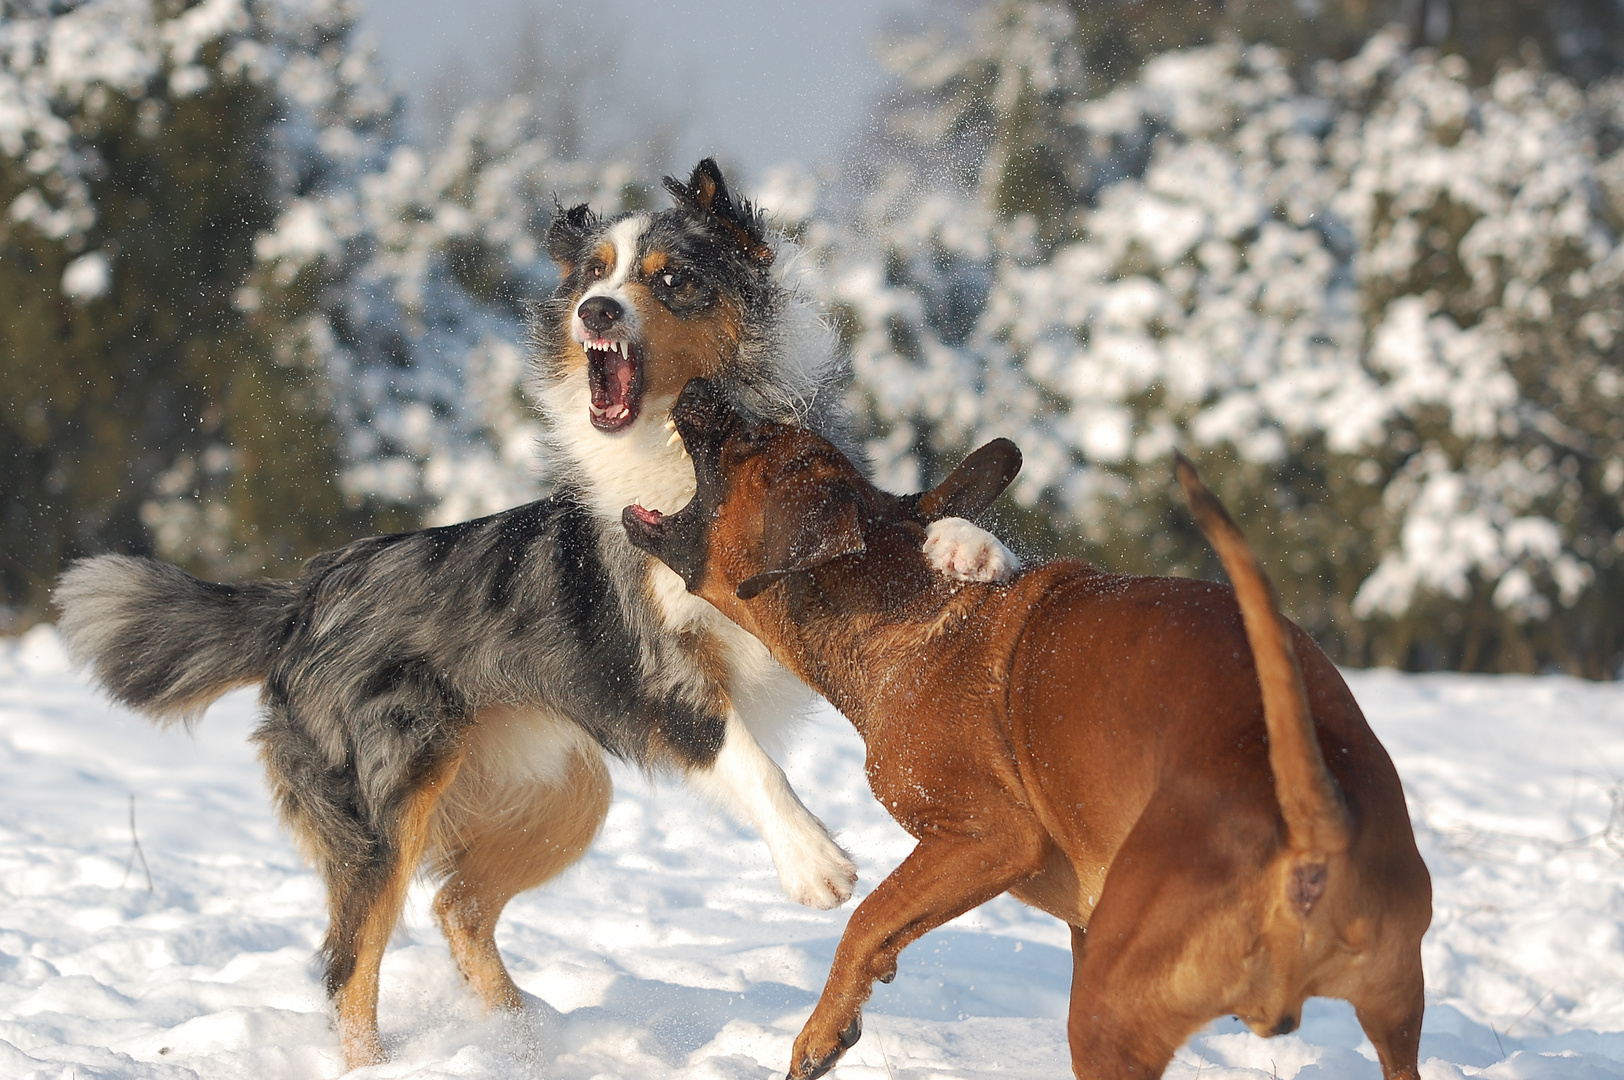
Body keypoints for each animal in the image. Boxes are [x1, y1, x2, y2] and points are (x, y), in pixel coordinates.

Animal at [620, 378, 1435, 1078]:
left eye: (748, 438)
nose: (696, 385)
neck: (906, 612)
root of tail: (1313, 818)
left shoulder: (991, 836)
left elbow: (869, 917)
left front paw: (823, 1032)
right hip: (1390, 1004)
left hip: (1110, 1010)